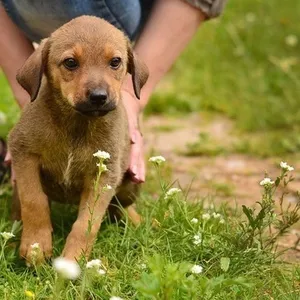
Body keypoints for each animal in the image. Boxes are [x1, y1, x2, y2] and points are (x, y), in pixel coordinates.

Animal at [7, 16, 148, 264]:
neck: (77, 124)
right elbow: (34, 201)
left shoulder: (104, 176)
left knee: (120, 206)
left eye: (115, 62)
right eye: (70, 62)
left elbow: (86, 225)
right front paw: (36, 245)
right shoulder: (23, 153)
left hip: (130, 183)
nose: (99, 97)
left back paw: (138, 222)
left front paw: (72, 260)